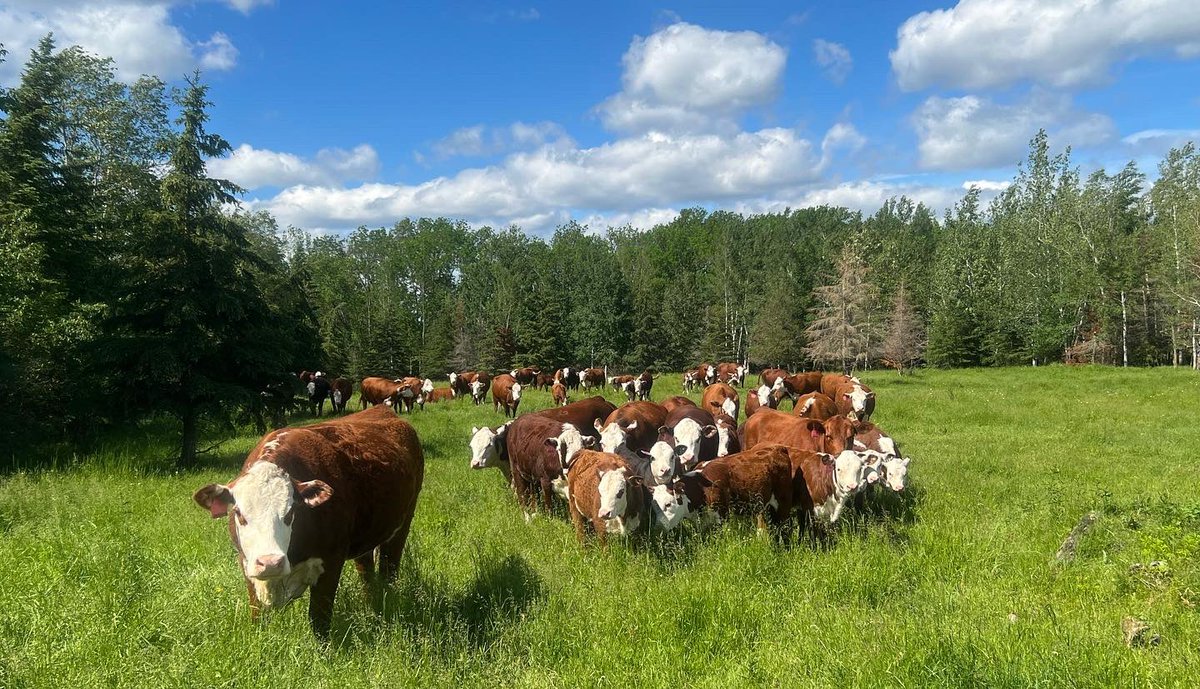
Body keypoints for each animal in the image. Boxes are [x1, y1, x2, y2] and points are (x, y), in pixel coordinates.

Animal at [192, 405, 423, 638]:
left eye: (290, 513)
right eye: (239, 513)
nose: (270, 563)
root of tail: (383, 409)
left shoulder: (331, 561)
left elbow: (319, 619)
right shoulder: (247, 565)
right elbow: (257, 617)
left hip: (404, 522)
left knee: (389, 568)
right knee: (366, 570)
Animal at [651, 444, 793, 536]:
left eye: (668, 504)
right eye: (654, 506)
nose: (658, 529)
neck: (702, 489)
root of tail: (778, 448)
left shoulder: (723, 518)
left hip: (783, 502)